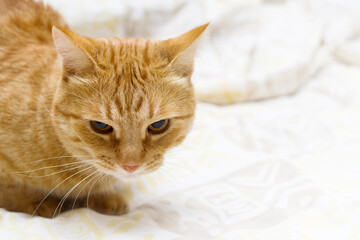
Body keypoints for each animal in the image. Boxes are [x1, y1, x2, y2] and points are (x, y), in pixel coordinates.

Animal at [0, 0, 208, 218]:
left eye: (158, 125)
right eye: (100, 126)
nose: (130, 166)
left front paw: (104, 198)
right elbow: (12, 190)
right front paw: (36, 203)